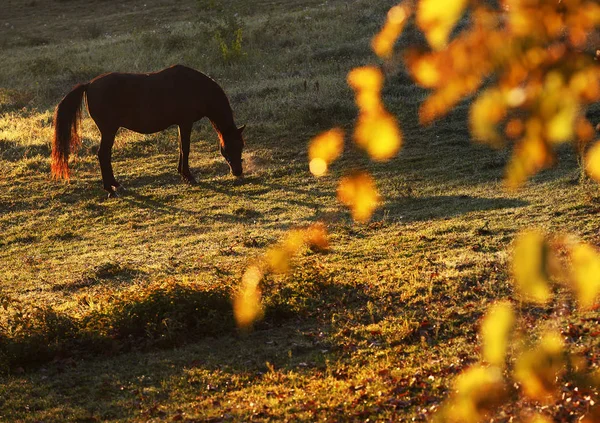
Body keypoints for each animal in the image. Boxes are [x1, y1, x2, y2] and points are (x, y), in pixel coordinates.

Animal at [51, 64, 244, 199]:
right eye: (233, 147)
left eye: (241, 146)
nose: (238, 172)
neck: (195, 87)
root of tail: (89, 84)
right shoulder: (186, 123)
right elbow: (186, 148)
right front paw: (189, 176)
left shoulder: (181, 124)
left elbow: (181, 148)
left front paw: (182, 174)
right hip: (109, 130)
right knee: (103, 155)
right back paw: (111, 189)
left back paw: (115, 185)